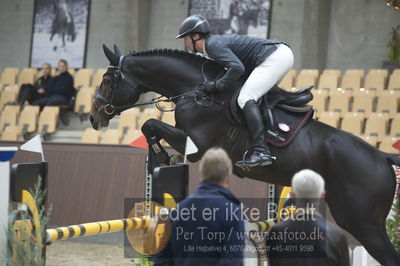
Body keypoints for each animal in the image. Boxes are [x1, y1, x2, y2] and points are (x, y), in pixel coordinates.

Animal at [90, 44, 400, 264]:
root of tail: (382, 157)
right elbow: (151, 126)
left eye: (106, 79)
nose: (94, 117)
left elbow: (150, 124)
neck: (195, 91)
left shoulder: (197, 144)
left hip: (362, 223)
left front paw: (161, 158)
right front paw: (165, 158)